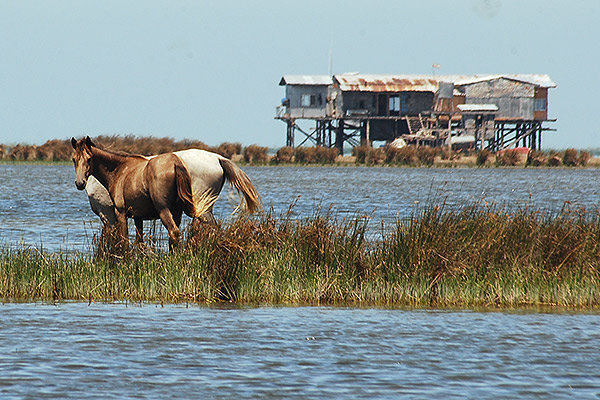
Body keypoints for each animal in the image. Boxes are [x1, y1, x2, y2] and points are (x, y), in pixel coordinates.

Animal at [69, 138, 260, 250]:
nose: (79, 183)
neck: (120, 170)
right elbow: (138, 242)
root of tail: (219, 158)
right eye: (73, 159)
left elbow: (119, 241)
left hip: (190, 209)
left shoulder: (113, 214)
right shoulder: (137, 216)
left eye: (89, 159)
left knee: (184, 232)